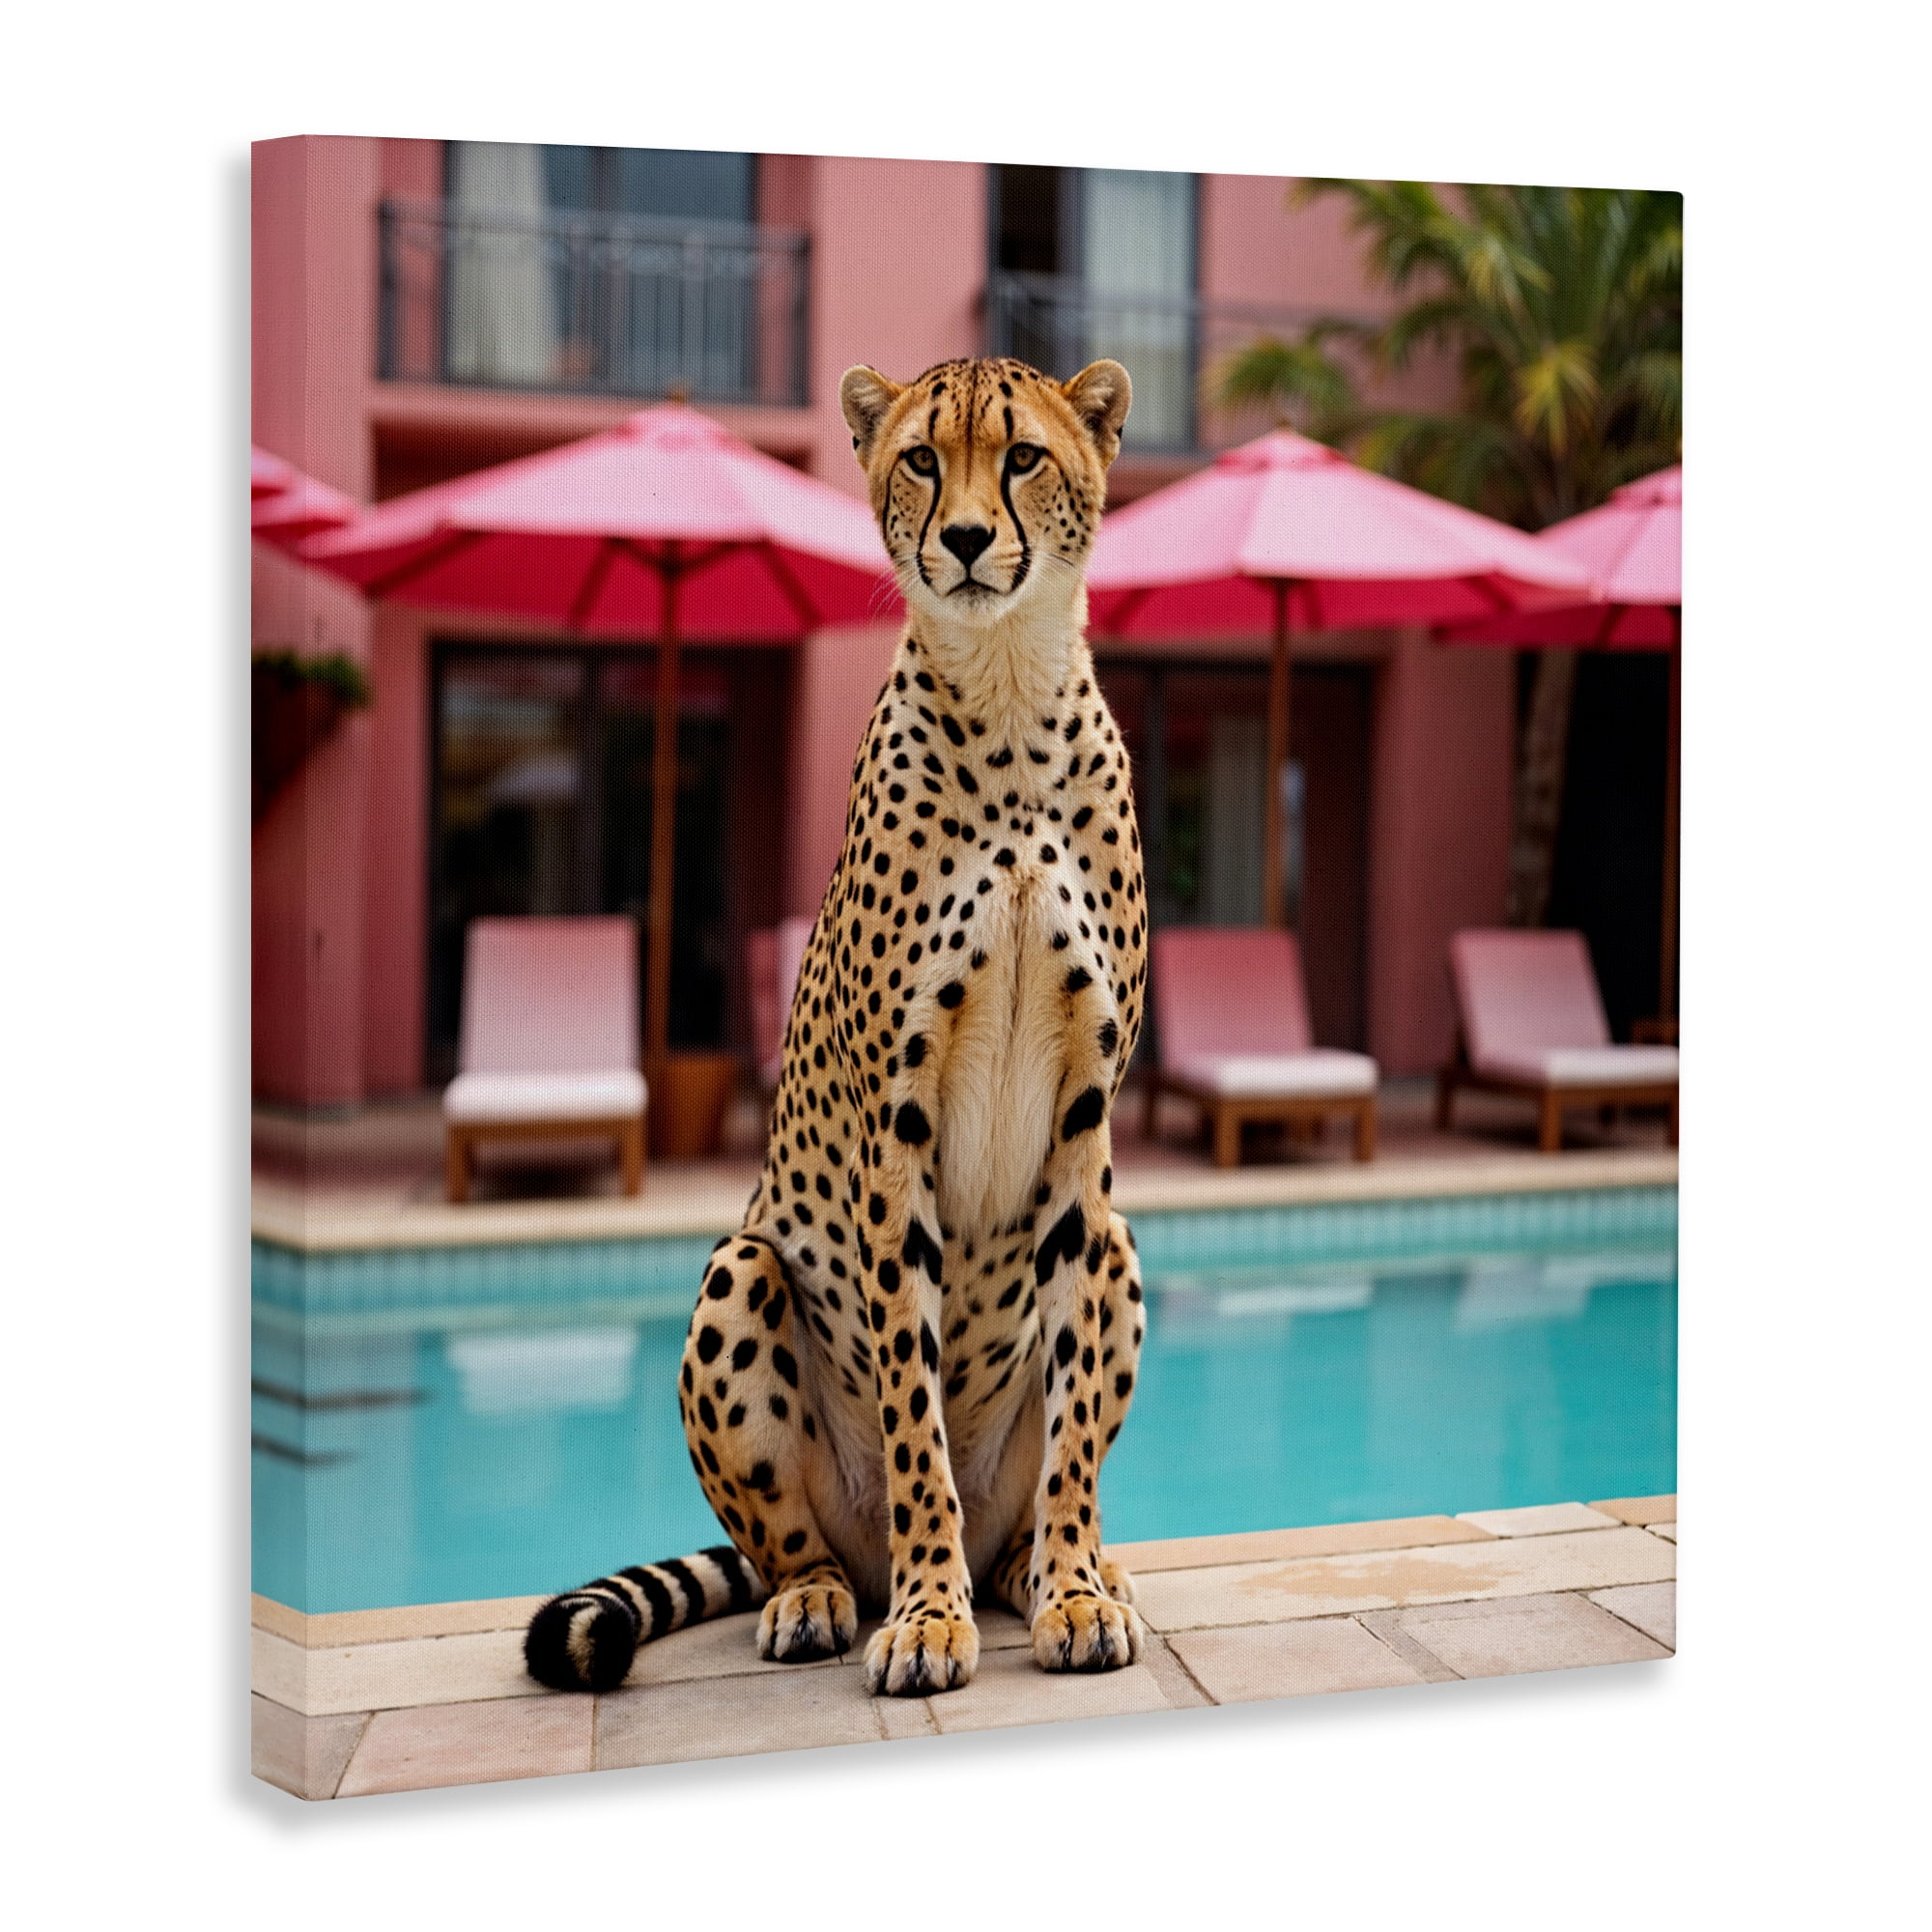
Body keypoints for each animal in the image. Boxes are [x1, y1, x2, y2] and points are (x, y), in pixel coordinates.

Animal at [525, 355, 1151, 1700]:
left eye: (1022, 457)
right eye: (920, 458)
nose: (962, 538)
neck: (1008, 693)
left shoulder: (1086, 1128)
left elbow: (1075, 1413)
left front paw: (1076, 1588)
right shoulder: (891, 1125)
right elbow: (913, 1409)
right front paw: (924, 1616)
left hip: (1123, 1243)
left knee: (1022, 1497)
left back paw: (1039, 1566)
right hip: (741, 1268)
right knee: (791, 1539)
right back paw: (828, 1594)